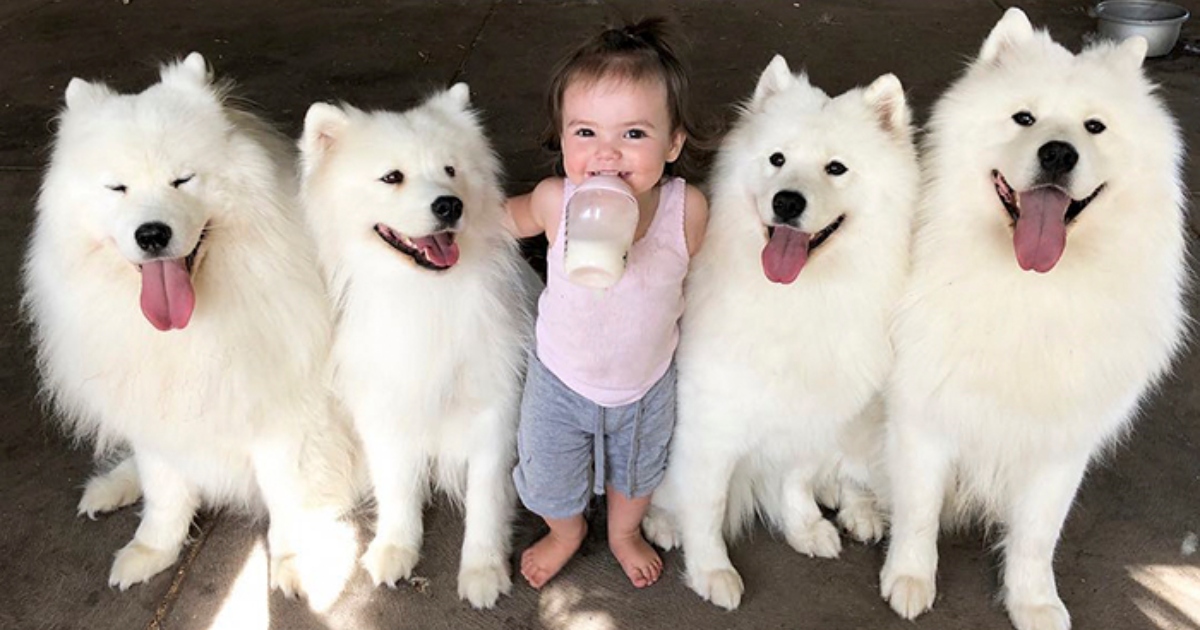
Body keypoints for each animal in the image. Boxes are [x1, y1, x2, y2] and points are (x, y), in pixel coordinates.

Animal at [22, 52, 357, 599]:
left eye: (182, 180)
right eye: (118, 188)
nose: (152, 234)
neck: (193, 327)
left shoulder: (289, 422)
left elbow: (287, 499)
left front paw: (295, 563)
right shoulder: (158, 418)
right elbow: (164, 495)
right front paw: (151, 551)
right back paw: (112, 486)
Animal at [299, 84, 536, 609]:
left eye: (450, 170)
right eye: (392, 177)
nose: (449, 205)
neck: (425, 296)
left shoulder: (494, 411)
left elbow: (486, 502)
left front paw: (483, 571)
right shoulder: (384, 410)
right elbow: (397, 490)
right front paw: (394, 549)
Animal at [642, 55, 918, 609]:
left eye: (836, 168)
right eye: (776, 159)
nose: (787, 202)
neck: (799, 299)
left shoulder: (811, 415)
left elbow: (797, 479)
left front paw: (804, 527)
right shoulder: (711, 425)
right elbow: (707, 503)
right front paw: (712, 570)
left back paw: (857, 508)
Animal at [879, 10, 1189, 630]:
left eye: (1095, 127)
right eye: (1024, 117)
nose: (1059, 154)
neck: (1031, 287)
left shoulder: (1061, 441)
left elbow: (1038, 536)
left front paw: (1035, 604)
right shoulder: (923, 415)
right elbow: (918, 512)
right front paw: (909, 579)